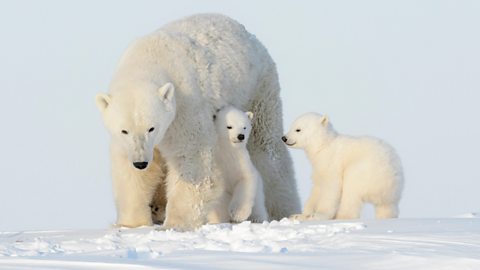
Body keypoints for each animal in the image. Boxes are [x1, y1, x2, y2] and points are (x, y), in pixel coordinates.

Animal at [94, 13, 300, 229]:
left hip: (258, 89)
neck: (148, 58)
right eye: (124, 130)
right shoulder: (129, 143)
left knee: (267, 150)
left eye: (152, 128)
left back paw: (284, 210)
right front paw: (132, 223)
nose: (141, 162)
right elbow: (130, 171)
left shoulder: (186, 104)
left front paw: (176, 223)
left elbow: (192, 160)